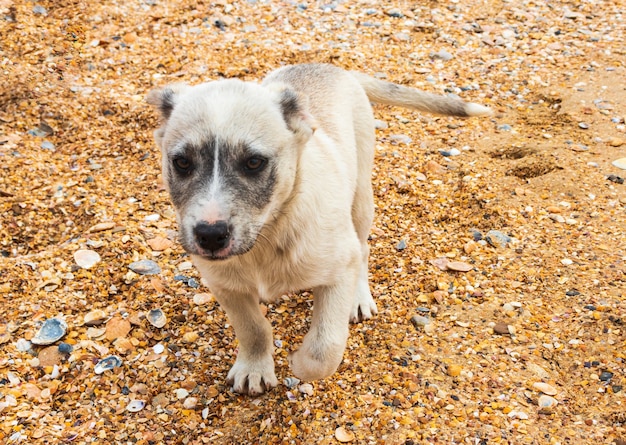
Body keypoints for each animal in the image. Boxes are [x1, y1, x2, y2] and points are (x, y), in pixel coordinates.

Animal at [146, 63, 488, 396]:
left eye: (254, 162)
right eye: (182, 162)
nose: (210, 236)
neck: (268, 235)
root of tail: (331, 67)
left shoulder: (339, 272)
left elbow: (325, 349)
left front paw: (297, 363)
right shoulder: (225, 286)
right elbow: (252, 329)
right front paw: (254, 369)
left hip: (361, 199)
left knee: (363, 248)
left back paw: (359, 297)